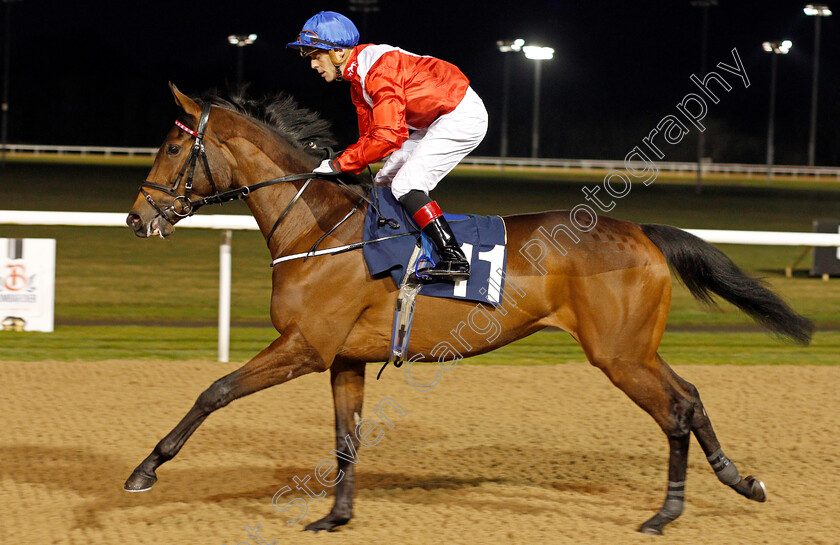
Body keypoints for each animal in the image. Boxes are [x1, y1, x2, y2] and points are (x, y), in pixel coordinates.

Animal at [124, 85, 812, 536]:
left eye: (170, 148)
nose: (136, 218)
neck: (318, 229)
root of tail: (641, 229)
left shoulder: (304, 346)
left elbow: (214, 391)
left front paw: (146, 469)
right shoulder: (343, 357)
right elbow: (345, 439)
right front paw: (336, 516)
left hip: (618, 354)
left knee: (675, 410)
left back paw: (666, 512)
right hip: (635, 348)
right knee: (689, 397)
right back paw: (738, 480)